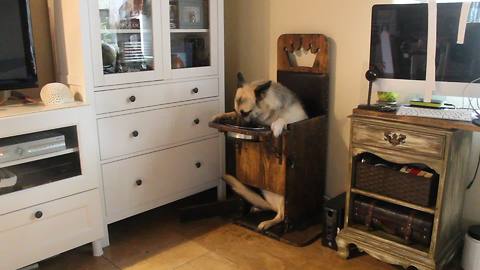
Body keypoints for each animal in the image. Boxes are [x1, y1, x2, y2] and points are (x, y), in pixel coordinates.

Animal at [215, 73, 308, 231]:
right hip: (266, 192)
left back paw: (267, 223)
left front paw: (277, 126)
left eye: (245, 113)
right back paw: (258, 209)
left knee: (281, 216)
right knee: (272, 208)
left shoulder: (293, 120)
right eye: (235, 110)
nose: (238, 127)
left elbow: (283, 120)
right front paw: (221, 115)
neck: (269, 114)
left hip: (283, 199)